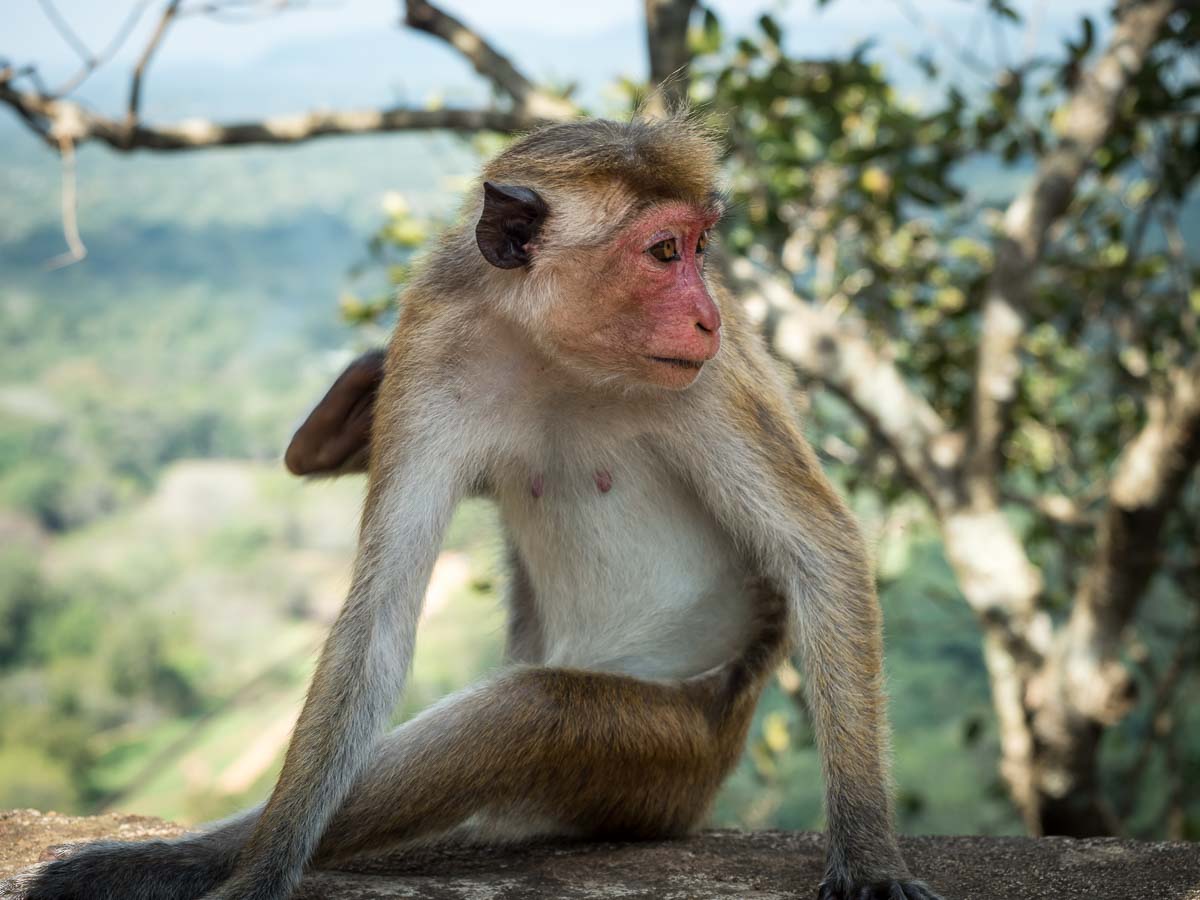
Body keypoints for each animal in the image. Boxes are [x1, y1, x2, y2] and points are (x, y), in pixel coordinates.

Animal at [1, 115, 941, 900]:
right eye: (665, 251)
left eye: (700, 247)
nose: (710, 316)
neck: (552, 349)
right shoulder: (432, 344)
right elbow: (378, 621)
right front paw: (263, 868)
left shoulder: (708, 384)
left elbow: (820, 551)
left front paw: (869, 856)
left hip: (676, 755)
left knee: (532, 713)